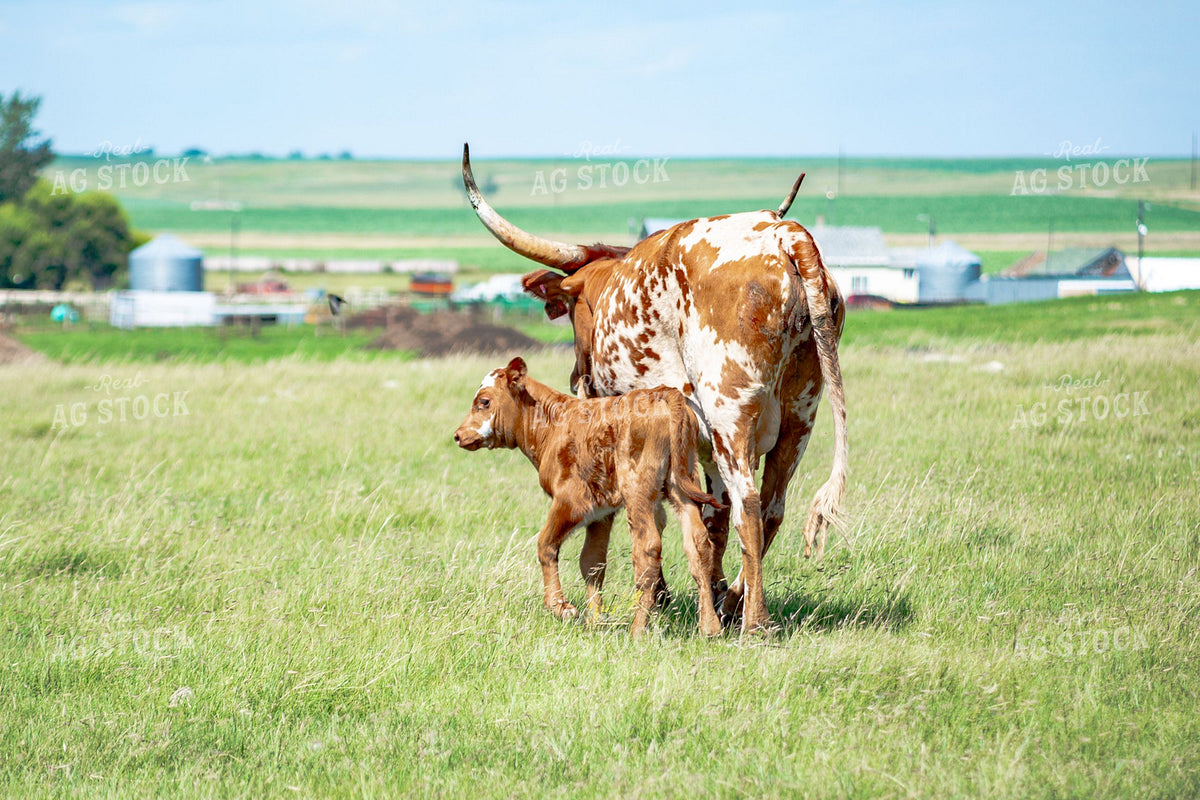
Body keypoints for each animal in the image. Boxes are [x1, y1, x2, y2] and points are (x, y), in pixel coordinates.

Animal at [453, 357, 725, 636]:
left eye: (484, 401)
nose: (458, 435)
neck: (554, 425)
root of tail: (661, 393)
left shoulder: (572, 501)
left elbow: (545, 544)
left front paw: (560, 606)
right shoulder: (601, 513)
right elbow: (592, 562)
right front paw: (593, 621)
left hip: (638, 491)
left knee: (647, 549)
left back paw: (638, 629)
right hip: (683, 484)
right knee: (698, 545)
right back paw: (709, 627)